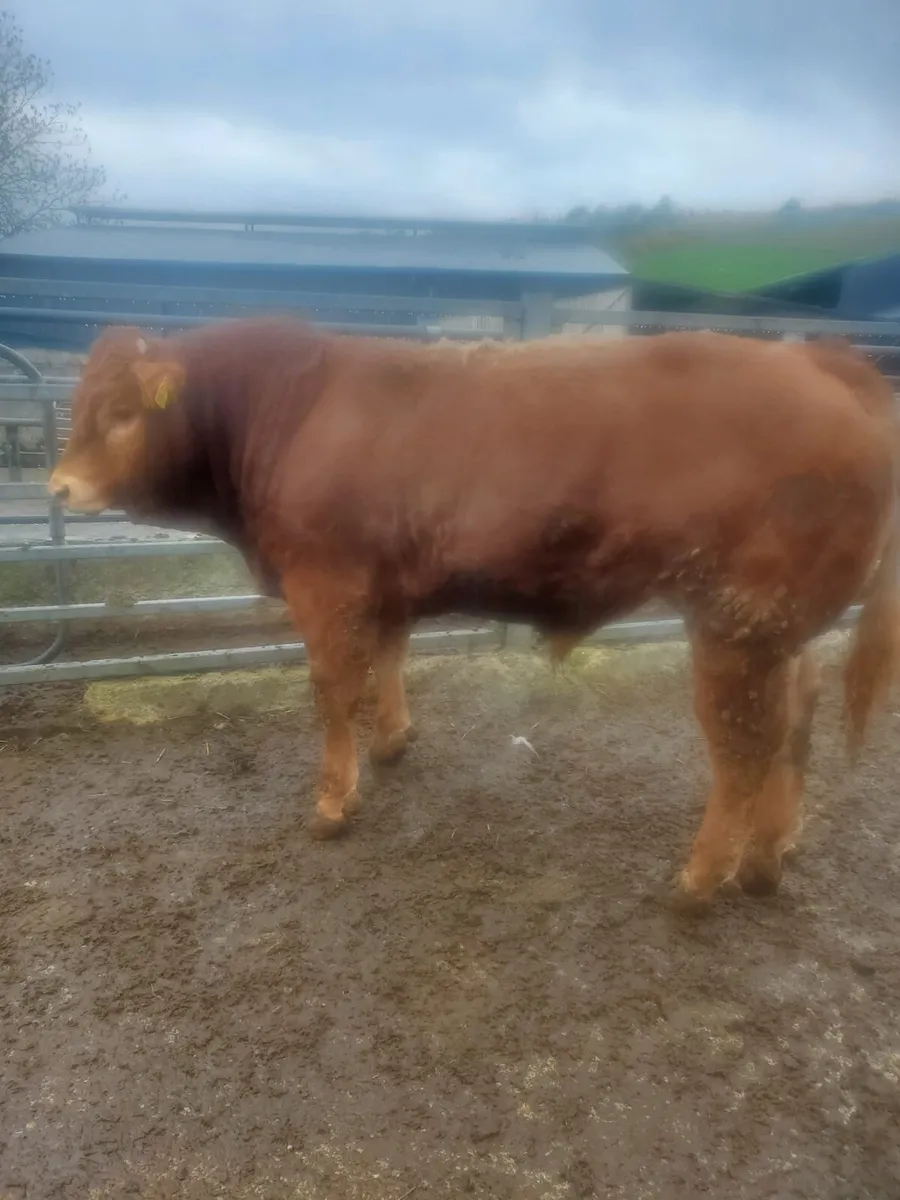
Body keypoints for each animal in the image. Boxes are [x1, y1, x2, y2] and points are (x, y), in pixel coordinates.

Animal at [48, 317, 900, 911]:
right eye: (79, 403)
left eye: (121, 411)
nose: (58, 486)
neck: (292, 409)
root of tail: (817, 358)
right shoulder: (382, 579)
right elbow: (387, 656)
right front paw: (393, 742)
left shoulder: (324, 581)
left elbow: (332, 689)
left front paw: (333, 800)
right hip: (780, 624)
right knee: (797, 717)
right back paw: (768, 856)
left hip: (737, 620)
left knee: (745, 743)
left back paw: (701, 879)